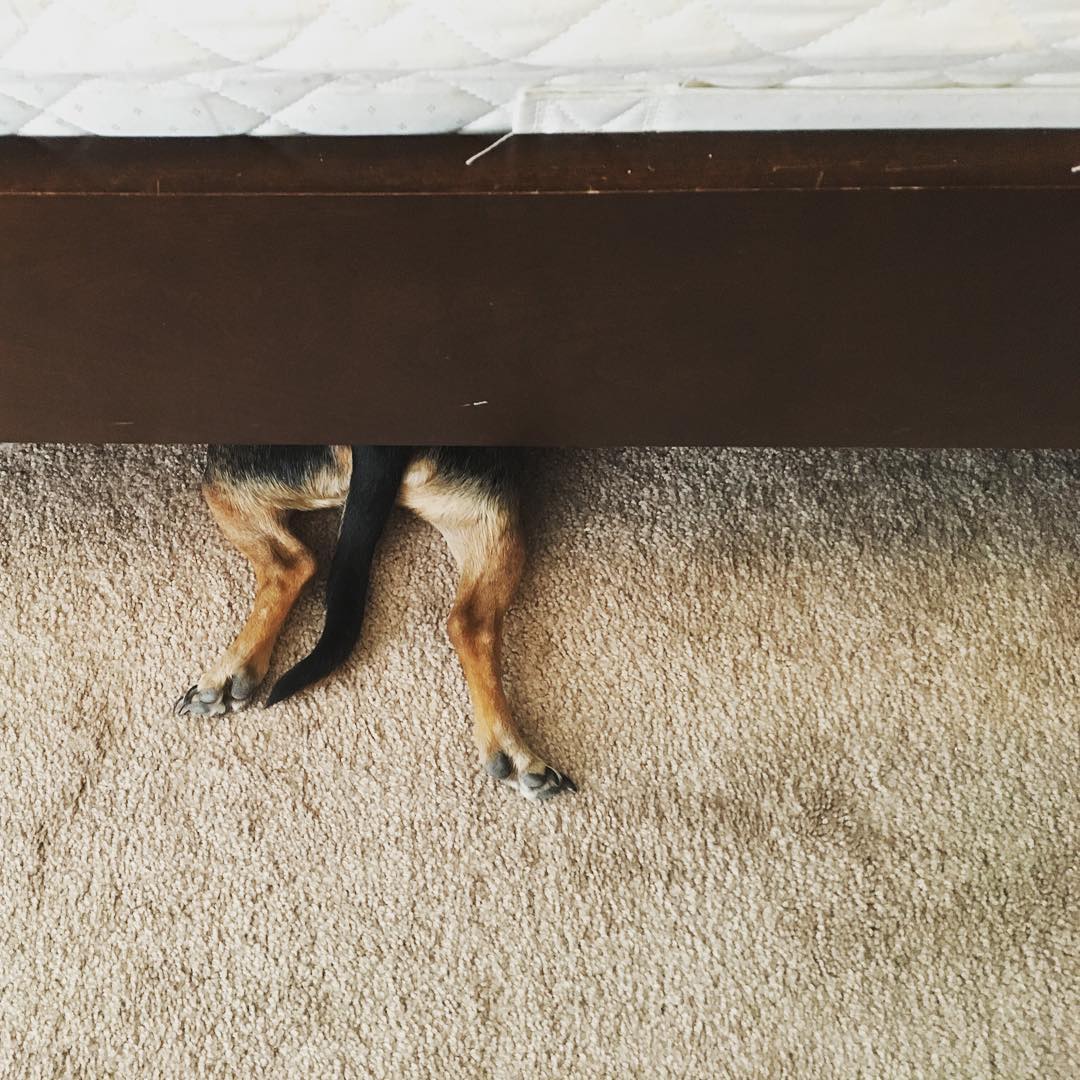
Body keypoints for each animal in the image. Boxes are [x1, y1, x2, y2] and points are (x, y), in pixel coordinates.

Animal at [174, 444, 574, 803]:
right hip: (485, 515)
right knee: (470, 623)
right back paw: (512, 752)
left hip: (226, 475)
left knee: (290, 562)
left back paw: (230, 673)